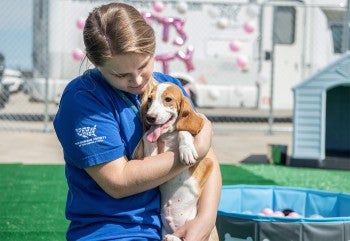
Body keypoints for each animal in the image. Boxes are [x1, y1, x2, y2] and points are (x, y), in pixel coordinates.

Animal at [133, 82, 217, 240]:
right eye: (149, 99)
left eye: (168, 99)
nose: (150, 117)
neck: (167, 136)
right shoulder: (152, 157)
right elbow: (147, 136)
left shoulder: (207, 162)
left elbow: (183, 131)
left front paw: (186, 150)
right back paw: (171, 237)